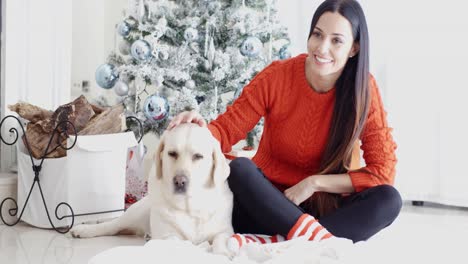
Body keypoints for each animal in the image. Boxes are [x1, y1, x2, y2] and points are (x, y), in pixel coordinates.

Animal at [70, 123, 234, 256]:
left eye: (198, 156)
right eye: (172, 153)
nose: (180, 181)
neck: (190, 208)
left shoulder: (225, 231)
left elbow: (220, 239)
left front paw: (224, 253)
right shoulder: (167, 236)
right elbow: (181, 243)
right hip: (135, 213)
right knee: (112, 225)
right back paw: (84, 230)